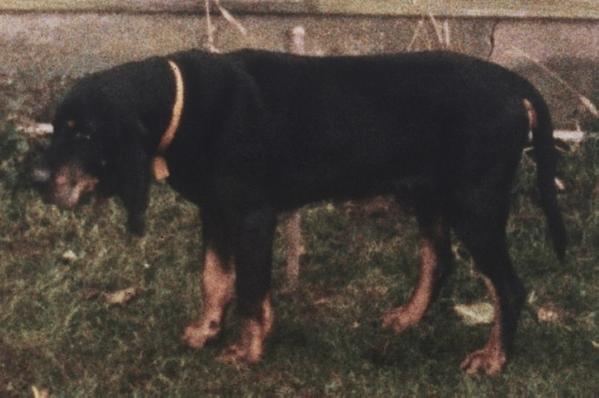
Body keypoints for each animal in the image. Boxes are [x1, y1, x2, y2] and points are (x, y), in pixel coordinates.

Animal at [45, 48, 568, 374]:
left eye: (85, 133)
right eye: (57, 128)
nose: (39, 181)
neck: (185, 102)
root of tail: (515, 85)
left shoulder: (253, 216)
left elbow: (250, 290)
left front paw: (246, 352)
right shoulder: (216, 212)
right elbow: (214, 279)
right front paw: (205, 332)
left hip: (476, 206)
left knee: (507, 288)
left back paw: (492, 360)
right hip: (431, 196)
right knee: (439, 261)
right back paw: (407, 319)